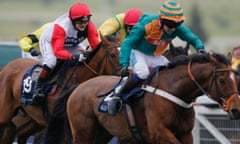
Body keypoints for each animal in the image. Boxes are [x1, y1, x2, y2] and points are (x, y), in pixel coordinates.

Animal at [66, 52, 240, 143]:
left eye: (236, 79)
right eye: (222, 80)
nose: (236, 110)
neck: (174, 91)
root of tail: (78, 88)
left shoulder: (186, 133)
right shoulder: (159, 133)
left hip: (103, 133)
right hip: (83, 132)